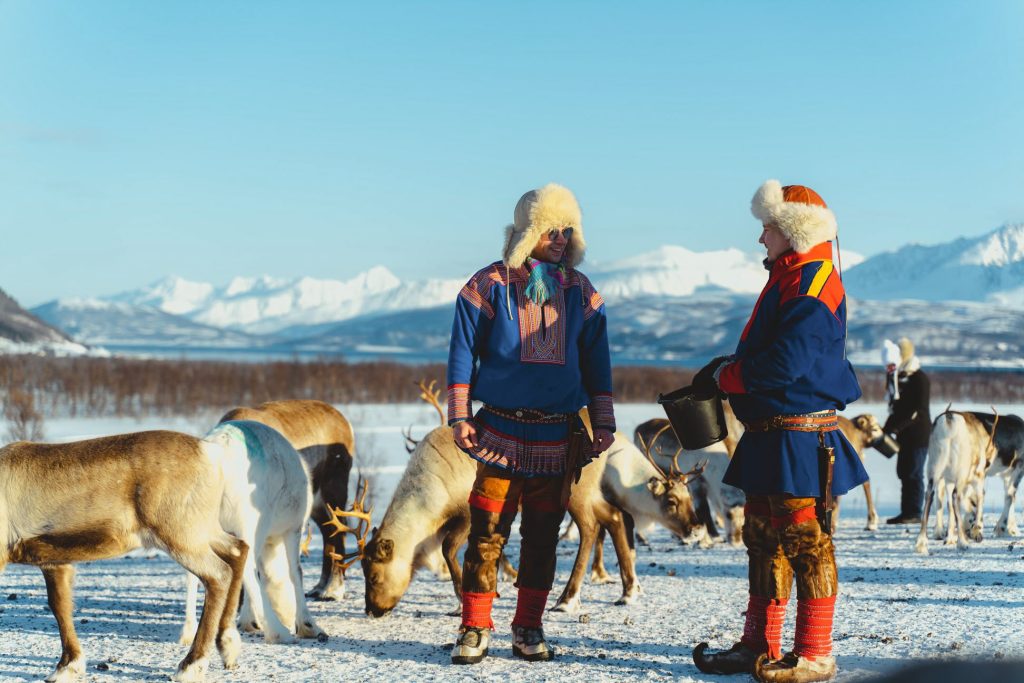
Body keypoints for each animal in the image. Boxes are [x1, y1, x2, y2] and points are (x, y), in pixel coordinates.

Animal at [0, 430, 248, 682]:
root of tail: (210, 452)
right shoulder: (54, 562)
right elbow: (59, 606)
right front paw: (67, 666)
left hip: (179, 534)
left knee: (218, 573)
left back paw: (191, 665)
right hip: (201, 529)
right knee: (238, 549)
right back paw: (228, 644)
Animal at [178, 420, 325, 646]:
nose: (286, 614)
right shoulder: (293, 529)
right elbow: (295, 572)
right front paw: (307, 626)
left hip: (200, 522)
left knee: (193, 569)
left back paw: (188, 632)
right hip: (251, 522)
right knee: (247, 566)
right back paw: (278, 632)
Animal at [216, 399, 354, 601]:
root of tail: (346, 422)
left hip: (334, 487)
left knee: (339, 528)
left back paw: (333, 590)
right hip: (315, 501)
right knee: (327, 530)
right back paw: (320, 587)